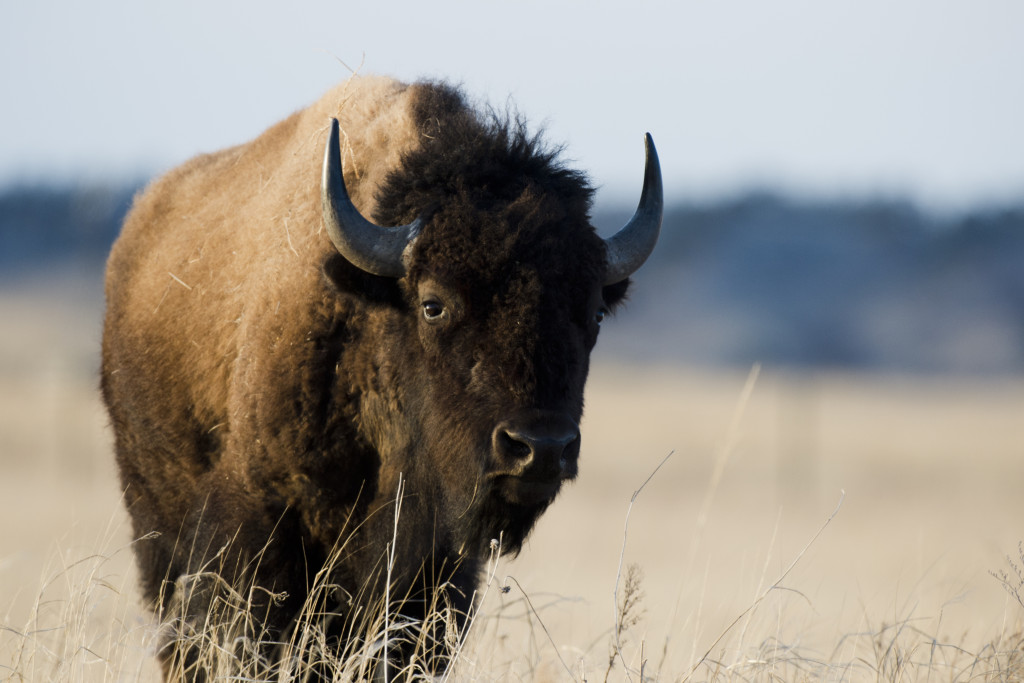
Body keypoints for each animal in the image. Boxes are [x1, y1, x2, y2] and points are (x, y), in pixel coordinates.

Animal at [101, 74, 663, 679]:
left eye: (595, 313)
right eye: (433, 304)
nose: (540, 448)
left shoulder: (438, 576)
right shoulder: (255, 535)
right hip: (157, 529)